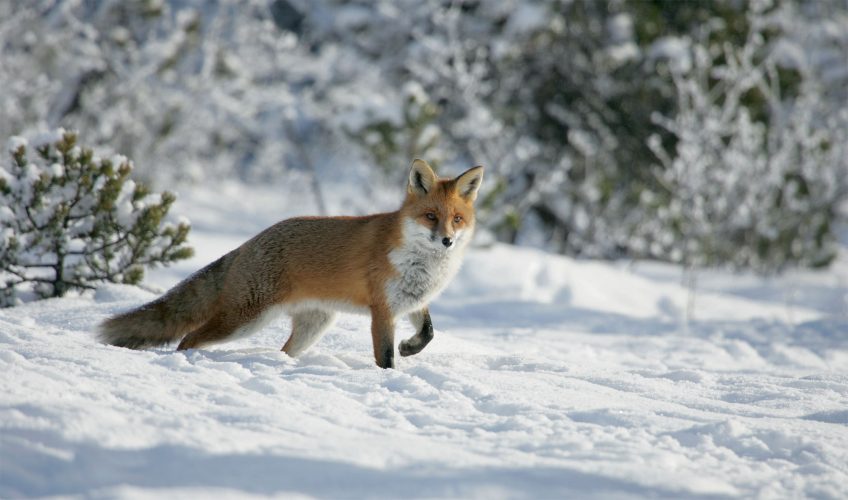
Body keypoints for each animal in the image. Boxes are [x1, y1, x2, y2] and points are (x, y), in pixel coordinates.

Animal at [98, 159, 483, 369]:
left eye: (457, 220)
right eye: (431, 216)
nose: (447, 241)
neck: (423, 265)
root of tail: (248, 242)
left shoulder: (413, 301)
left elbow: (429, 332)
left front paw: (410, 348)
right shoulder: (383, 310)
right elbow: (386, 358)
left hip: (314, 325)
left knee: (283, 350)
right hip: (244, 320)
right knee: (189, 337)